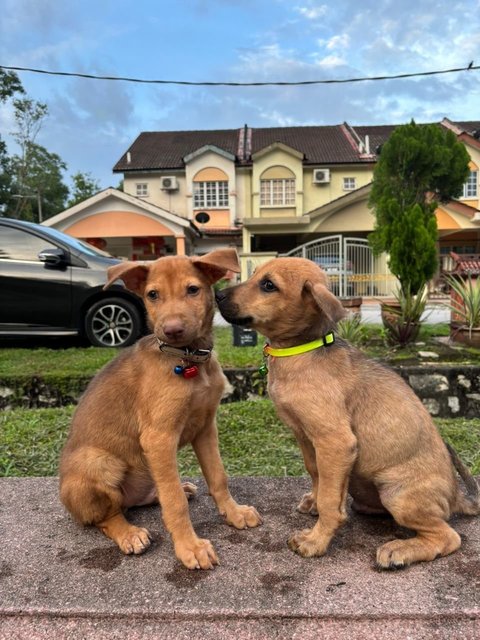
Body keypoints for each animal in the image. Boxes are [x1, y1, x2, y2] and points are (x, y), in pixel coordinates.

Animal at [61, 250, 262, 568]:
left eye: (192, 289)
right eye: (152, 295)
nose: (172, 330)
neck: (189, 360)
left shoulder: (206, 427)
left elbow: (218, 476)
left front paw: (234, 513)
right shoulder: (159, 438)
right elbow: (174, 503)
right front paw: (190, 547)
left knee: (148, 495)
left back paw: (177, 490)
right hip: (98, 461)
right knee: (106, 517)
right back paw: (129, 533)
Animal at [216, 258, 478, 568]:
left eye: (268, 285)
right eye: (254, 274)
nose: (217, 295)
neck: (301, 351)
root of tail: (456, 496)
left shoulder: (336, 442)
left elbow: (330, 500)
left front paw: (316, 540)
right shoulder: (307, 438)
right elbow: (317, 475)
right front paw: (314, 503)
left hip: (397, 493)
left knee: (448, 536)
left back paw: (400, 550)